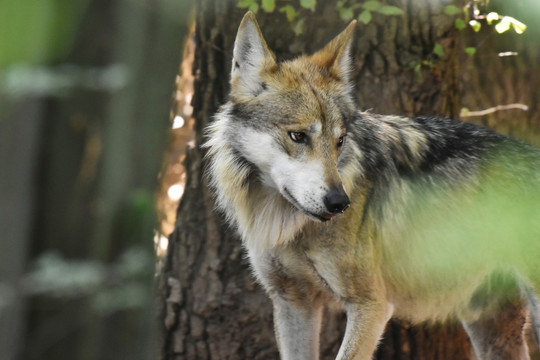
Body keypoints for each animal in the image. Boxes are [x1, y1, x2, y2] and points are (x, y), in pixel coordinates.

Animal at [204, 11, 540, 360]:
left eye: (339, 141)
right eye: (298, 136)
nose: (339, 203)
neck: (289, 227)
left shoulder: (371, 305)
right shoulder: (292, 303)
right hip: (489, 329)